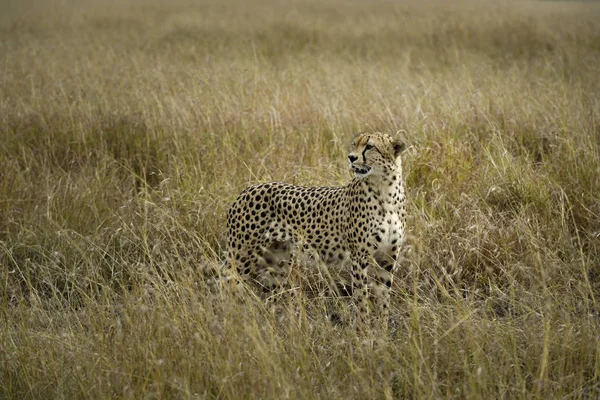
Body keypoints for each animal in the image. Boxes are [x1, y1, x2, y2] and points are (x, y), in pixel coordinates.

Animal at [225, 131, 408, 322]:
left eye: (370, 146)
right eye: (354, 145)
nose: (351, 157)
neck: (385, 191)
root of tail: (248, 189)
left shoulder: (388, 257)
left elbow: (384, 298)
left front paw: (382, 326)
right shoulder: (359, 256)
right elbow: (361, 298)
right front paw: (363, 327)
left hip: (277, 261)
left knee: (270, 295)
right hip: (243, 256)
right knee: (228, 286)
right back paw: (230, 319)